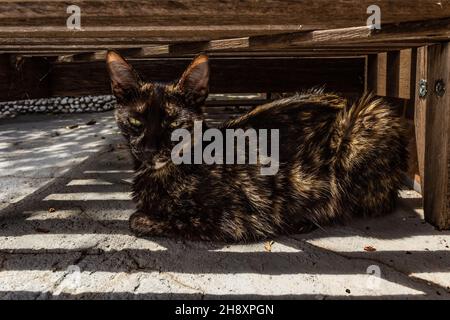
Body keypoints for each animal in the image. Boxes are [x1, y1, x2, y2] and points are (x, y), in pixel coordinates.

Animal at [105, 52, 408, 242]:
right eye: (136, 121)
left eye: (173, 124)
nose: (148, 149)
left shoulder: (232, 219)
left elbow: (139, 219)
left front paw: (143, 217)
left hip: (367, 119)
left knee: (370, 202)